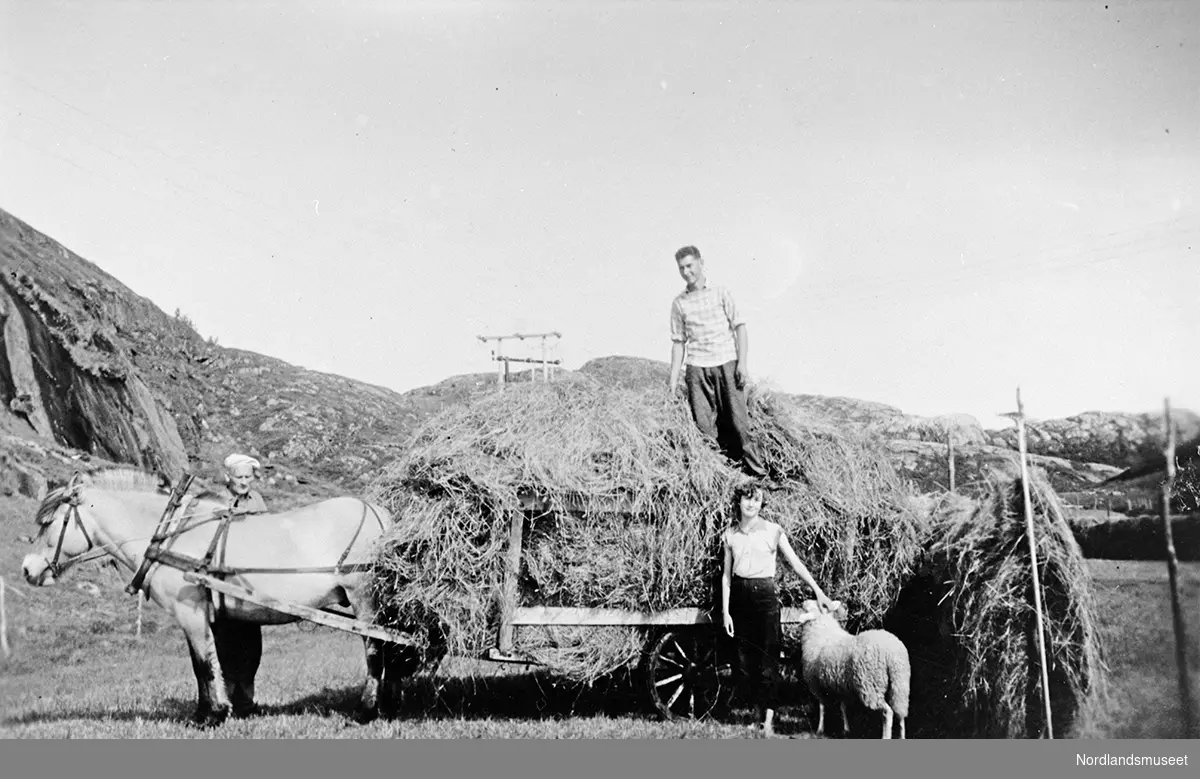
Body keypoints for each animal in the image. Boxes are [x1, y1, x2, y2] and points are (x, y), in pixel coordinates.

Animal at [18, 465, 424, 724]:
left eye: (49, 522)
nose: (27, 569)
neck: (170, 533)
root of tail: (382, 515)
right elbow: (214, 663)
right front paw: (219, 710)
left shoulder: (190, 611)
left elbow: (202, 665)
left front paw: (208, 716)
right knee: (392, 649)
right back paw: (390, 706)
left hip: (365, 600)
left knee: (375, 650)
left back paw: (367, 711)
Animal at [796, 597, 907, 739]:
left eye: (811, 607)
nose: (803, 602)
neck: (821, 633)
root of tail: (891, 654)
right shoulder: (841, 686)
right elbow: (843, 707)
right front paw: (846, 730)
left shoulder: (816, 684)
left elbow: (822, 707)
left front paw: (820, 730)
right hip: (900, 684)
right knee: (900, 713)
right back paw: (902, 736)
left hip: (871, 687)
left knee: (888, 712)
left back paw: (886, 736)